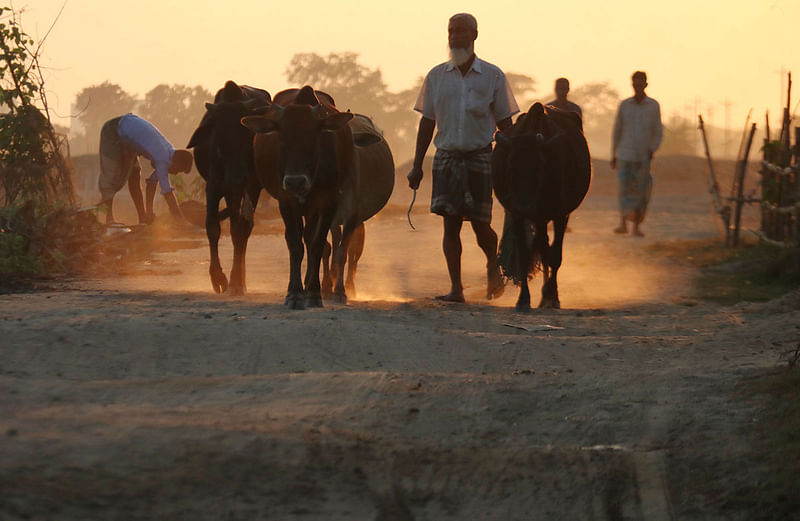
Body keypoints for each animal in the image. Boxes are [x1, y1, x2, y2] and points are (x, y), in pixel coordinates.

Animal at [187, 79, 272, 294]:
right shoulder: (214, 186)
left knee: (242, 229)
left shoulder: (249, 187)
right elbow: (212, 226)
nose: (236, 178)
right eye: (220, 139)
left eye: (247, 137)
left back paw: (241, 279)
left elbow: (241, 229)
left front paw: (235, 281)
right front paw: (218, 278)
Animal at [244, 83, 394, 306]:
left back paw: (344, 286)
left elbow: (333, 249)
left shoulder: (340, 210)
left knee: (348, 250)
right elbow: (299, 245)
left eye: (314, 138)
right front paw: (298, 292)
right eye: (280, 139)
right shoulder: (287, 202)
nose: (295, 181)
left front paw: (329, 292)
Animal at [490, 103, 592, 310]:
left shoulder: (560, 214)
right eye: (510, 165)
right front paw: (524, 298)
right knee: (542, 248)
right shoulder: (518, 215)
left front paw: (551, 296)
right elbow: (525, 254)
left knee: (549, 251)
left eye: (539, 166)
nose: (524, 207)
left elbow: (555, 255)